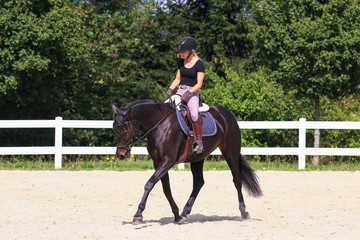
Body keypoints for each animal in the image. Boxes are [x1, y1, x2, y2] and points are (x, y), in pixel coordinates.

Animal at [111, 99, 262, 225]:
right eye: (114, 129)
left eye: (124, 129)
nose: (120, 155)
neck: (160, 125)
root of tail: (226, 113)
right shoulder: (158, 162)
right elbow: (166, 189)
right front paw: (177, 216)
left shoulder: (167, 161)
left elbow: (149, 184)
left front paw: (138, 215)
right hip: (198, 158)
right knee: (199, 182)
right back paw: (185, 211)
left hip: (230, 153)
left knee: (237, 180)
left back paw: (244, 212)